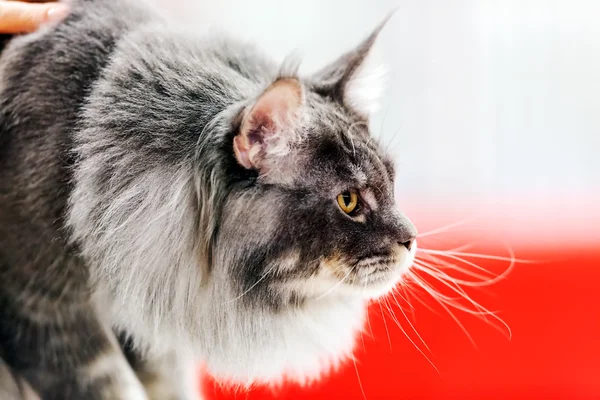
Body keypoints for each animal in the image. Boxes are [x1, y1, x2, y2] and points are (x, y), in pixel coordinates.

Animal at [0, 0, 418, 400]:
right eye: (348, 201)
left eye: (391, 181)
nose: (411, 239)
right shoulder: (43, 307)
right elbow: (114, 386)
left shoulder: (147, 324)